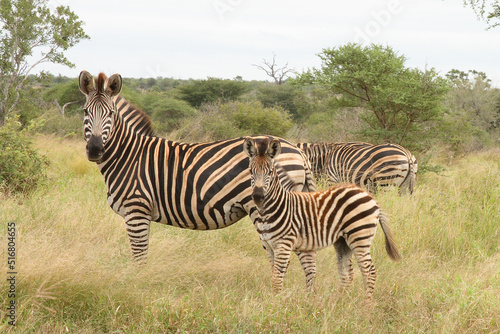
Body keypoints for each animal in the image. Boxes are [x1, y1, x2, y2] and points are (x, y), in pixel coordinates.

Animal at [78, 72, 316, 264]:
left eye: (110, 113)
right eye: (85, 112)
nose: (95, 149)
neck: (129, 155)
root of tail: (297, 151)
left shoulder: (137, 210)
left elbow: (139, 259)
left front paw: (138, 286)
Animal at [244, 137, 400, 298]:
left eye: (269, 172)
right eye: (250, 172)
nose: (257, 196)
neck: (271, 209)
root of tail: (369, 197)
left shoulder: (284, 244)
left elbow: (278, 278)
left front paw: (278, 301)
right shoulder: (269, 246)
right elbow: (276, 275)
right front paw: (277, 300)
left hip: (359, 236)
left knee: (369, 271)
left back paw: (366, 303)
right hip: (343, 240)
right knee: (346, 273)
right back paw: (341, 301)